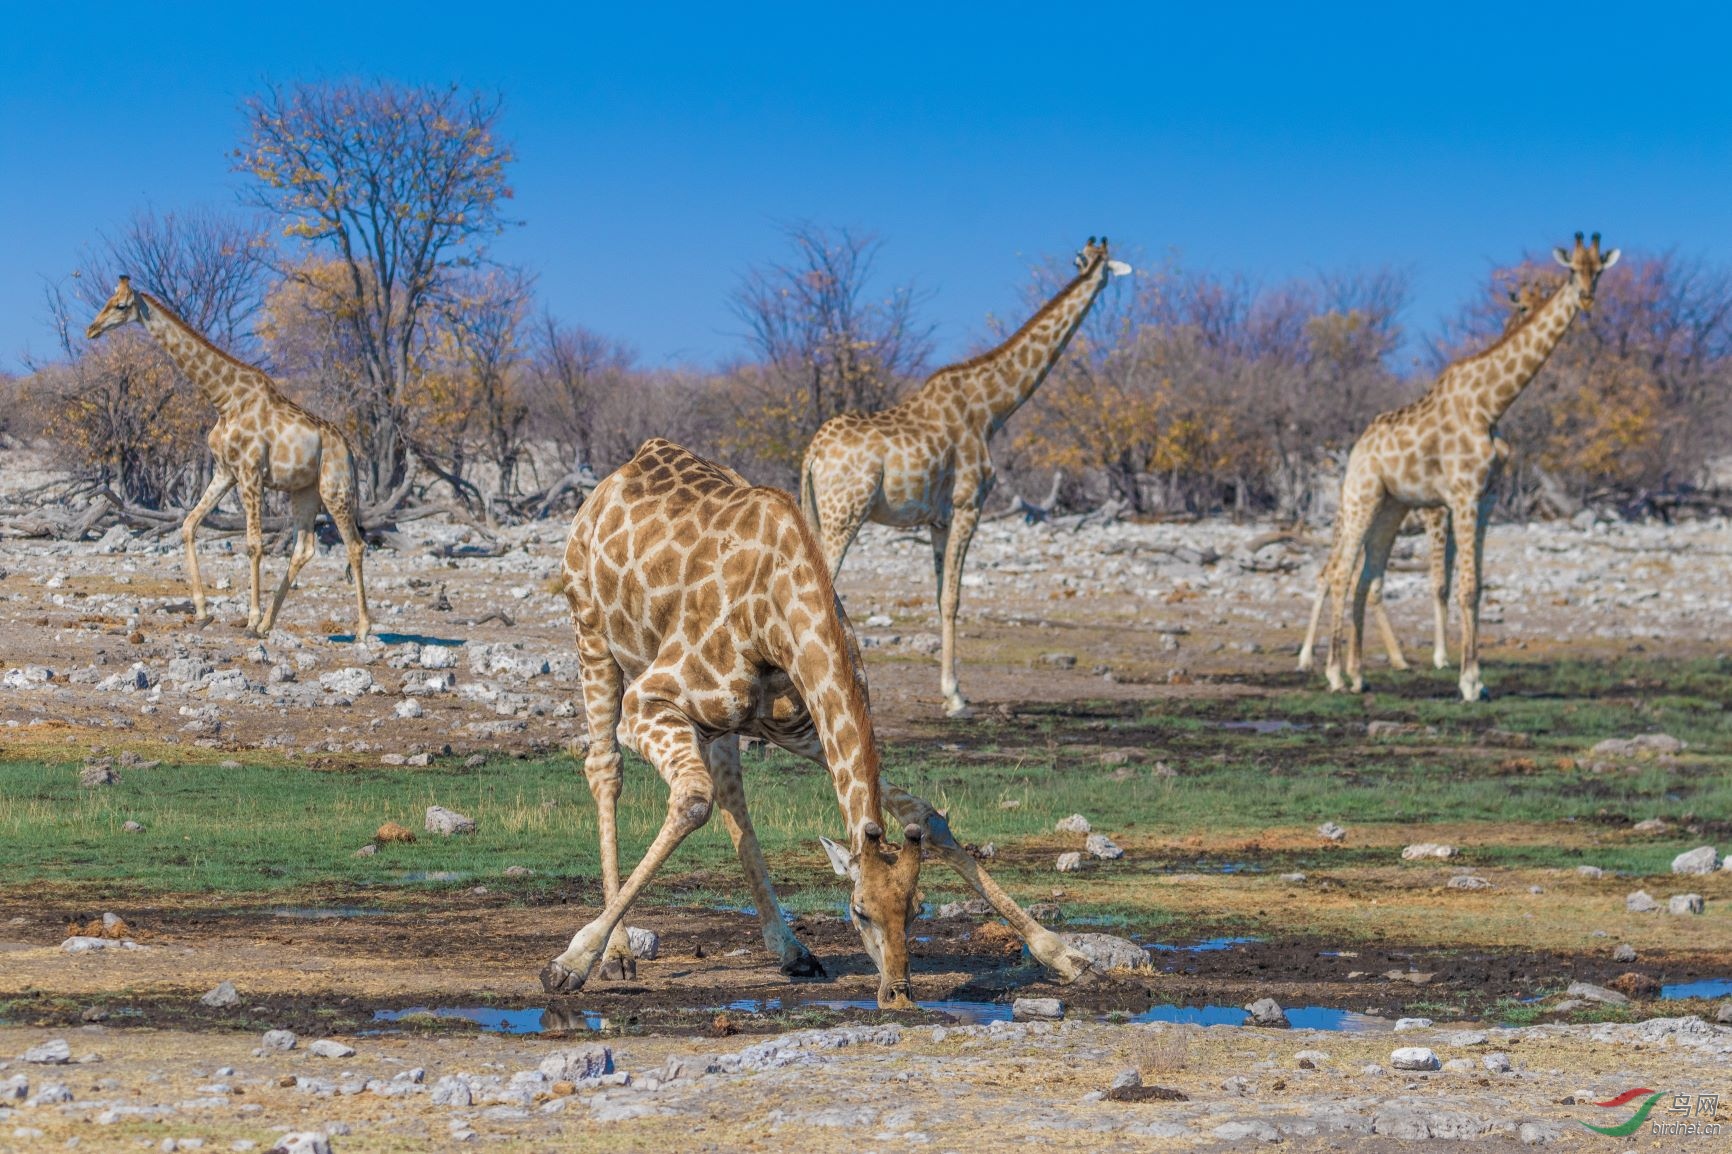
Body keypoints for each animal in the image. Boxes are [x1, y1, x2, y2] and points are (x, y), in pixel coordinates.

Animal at [86, 277, 370, 637]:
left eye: (121, 306)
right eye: (107, 301)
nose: (92, 329)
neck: (224, 399)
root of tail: (349, 450)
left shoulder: (250, 472)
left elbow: (254, 544)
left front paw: (249, 618)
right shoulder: (225, 471)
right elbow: (189, 525)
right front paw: (203, 612)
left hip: (336, 488)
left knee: (355, 545)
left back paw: (362, 629)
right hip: (304, 492)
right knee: (304, 549)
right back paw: (268, 624)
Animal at [540, 436, 1087, 1004]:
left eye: (915, 911)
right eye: (859, 912)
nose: (897, 991)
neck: (779, 616)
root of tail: (613, 479)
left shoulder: (803, 728)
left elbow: (927, 815)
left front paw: (1064, 954)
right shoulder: (649, 701)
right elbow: (691, 801)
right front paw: (568, 962)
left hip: (723, 722)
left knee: (732, 793)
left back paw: (791, 949)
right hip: (591, 634)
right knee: (606, 768)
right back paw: (618, 954)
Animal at [800, 237, 1129, 713]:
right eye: (1095, 265)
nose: (1096, 277)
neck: (992, 409)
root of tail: (812, 453)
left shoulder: (938, 518)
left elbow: (940, 597)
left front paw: (950, 689)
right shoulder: (969, 503)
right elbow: (955, 597)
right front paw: (956, 697)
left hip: (815, 510)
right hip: (846, 512)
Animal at [1302, 235, 1614, 700]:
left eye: (1599, 270)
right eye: (1573, 270)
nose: (1588, 298)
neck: (1491, 404)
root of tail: (1355, 449)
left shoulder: (1485, 501)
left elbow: (1477, 586)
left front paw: (1475, 679)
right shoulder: (1460, 498)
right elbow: (1460, 586)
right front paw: (1466, 680)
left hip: (1390, 508)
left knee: (1365, 580)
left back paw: (1359, 674)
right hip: (1360, 499)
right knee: (1337, 574)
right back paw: (1334, 674)